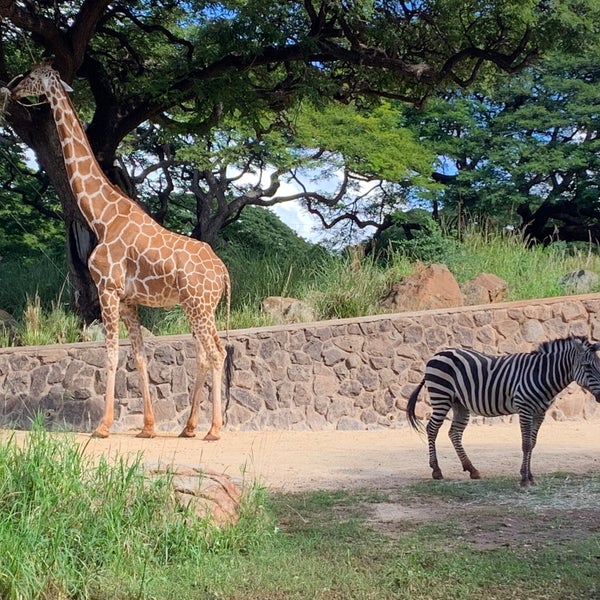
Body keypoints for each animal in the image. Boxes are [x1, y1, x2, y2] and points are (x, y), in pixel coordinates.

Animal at [12, 63, 232, 440]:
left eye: (31, 75)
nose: (12, 90)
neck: (101, 216)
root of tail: (223, 272)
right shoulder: (128, 300)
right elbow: (139, 357)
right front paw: (148, 427)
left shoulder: (107, 290)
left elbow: (111, 356)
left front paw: (102, 426)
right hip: (198, 306)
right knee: (205, 354)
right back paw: (188, 428)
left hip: (199, 305)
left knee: (216, 353)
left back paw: (214, 430)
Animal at [406, 336, 600, 486]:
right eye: (587, 366)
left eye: (598, 366)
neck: (541, 374)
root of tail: (438, 353)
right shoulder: (525, 407)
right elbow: (526, 444)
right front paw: (524, 479)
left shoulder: (540, 412)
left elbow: (533, 443)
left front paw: (530, 476)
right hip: (441, 396)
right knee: (432, 429)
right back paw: (436, 470)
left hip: (459, 403)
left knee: (454, 433)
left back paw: (472, 469)